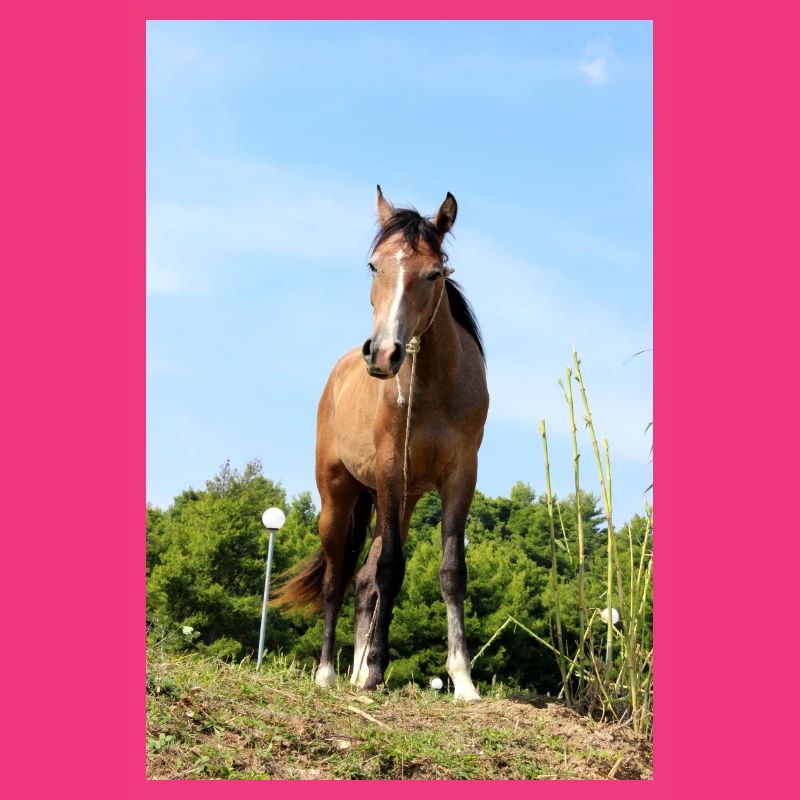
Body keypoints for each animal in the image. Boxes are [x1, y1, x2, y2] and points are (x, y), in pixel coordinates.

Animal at [273, 187, 488, 702]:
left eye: (433, 273)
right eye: (374, 266)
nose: (384, 353)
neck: (433, 387)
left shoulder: (460, 477)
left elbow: (450, 572)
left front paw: (463, 679)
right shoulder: (391, 471)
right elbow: (391, 570)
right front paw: (373, 672)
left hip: (402, 501)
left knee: (363, 580)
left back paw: (352, 670)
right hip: (339, 497)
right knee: (337, 581)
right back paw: (330, 672)